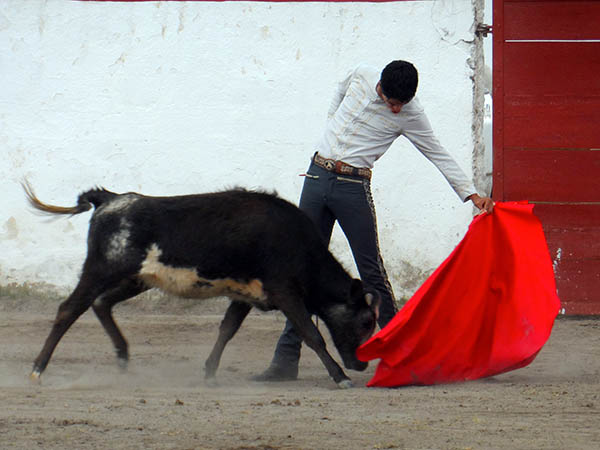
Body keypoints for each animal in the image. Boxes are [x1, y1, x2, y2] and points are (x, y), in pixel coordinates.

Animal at [24, 185, 380, 388]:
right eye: (366, 321)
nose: (362, 363)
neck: (298, 245)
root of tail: (110, 199)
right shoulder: (285, 293)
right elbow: (312, 334)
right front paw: (341, 377)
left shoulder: (245, 295)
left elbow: (227, 329)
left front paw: (209, 372)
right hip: (100, 270)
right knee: (69, 310)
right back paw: (38, 370)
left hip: (134, 279)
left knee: (101, 304)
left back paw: (123, 357)